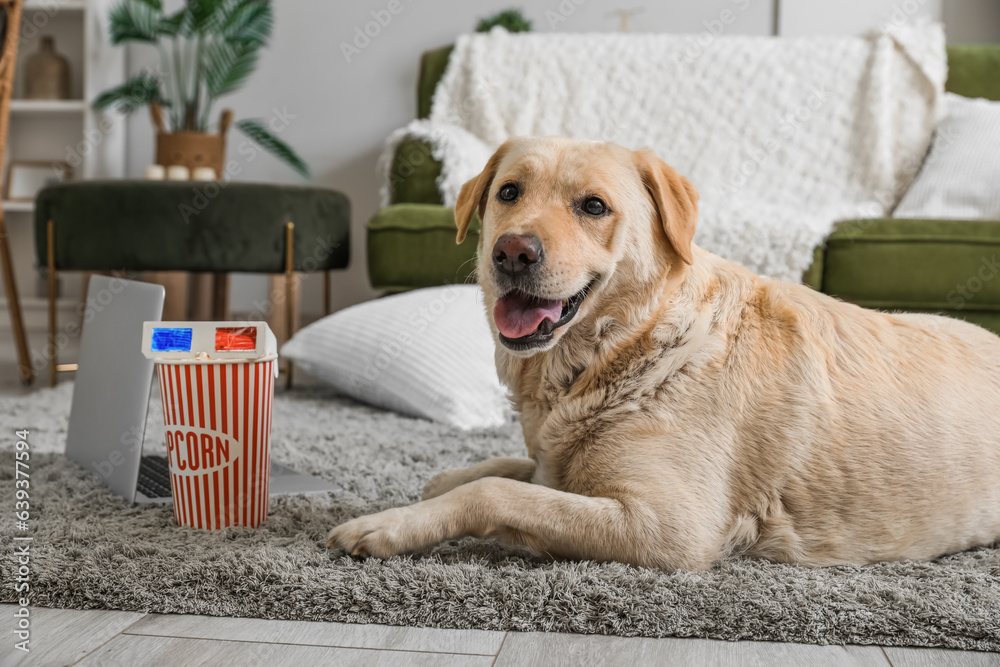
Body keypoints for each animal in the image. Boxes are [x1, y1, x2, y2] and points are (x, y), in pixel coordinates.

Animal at [328, 137, 1000, 568]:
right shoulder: (561, 465)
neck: (627, 348)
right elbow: (492, 471)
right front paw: (436, 486)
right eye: (508, 193)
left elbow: (498, 492)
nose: (512, 252)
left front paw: (386, 526)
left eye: (593, 206)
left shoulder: (669, 529)